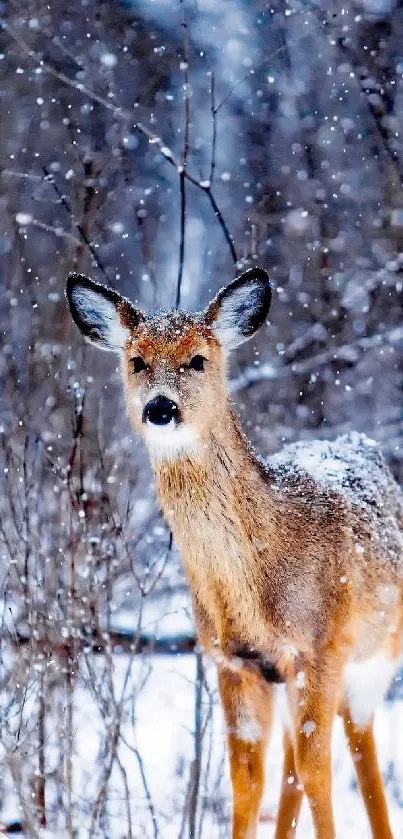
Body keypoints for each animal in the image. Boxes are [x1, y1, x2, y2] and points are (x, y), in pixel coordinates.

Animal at [67, 270, 403, 839]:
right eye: (137, 361)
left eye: (199, 359)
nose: (160, 408)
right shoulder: (232, 660)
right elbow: (247, 782)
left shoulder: (322, 646)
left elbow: (319, 772)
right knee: (291, 764)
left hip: (377, 652)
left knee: (358, 744)